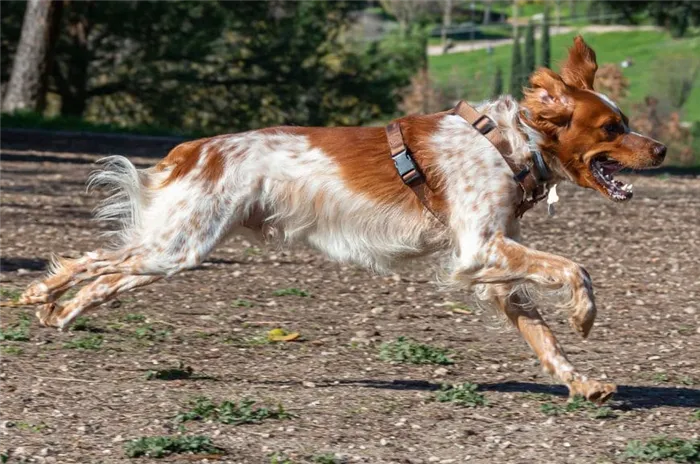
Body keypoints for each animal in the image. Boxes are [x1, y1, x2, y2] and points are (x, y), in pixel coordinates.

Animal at [20, 37, 668, 402]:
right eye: (613, 128)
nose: (661, 150)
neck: (508, 144)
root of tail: (198, 147)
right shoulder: (479, 250)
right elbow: (576, 269)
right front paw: (585, 315)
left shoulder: (492, 265)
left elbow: (543, 334)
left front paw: (580, 382)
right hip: (178, 245)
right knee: (92, 260)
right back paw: (40, 295)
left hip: (174, 250)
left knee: (107, 278)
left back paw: (62, 312)